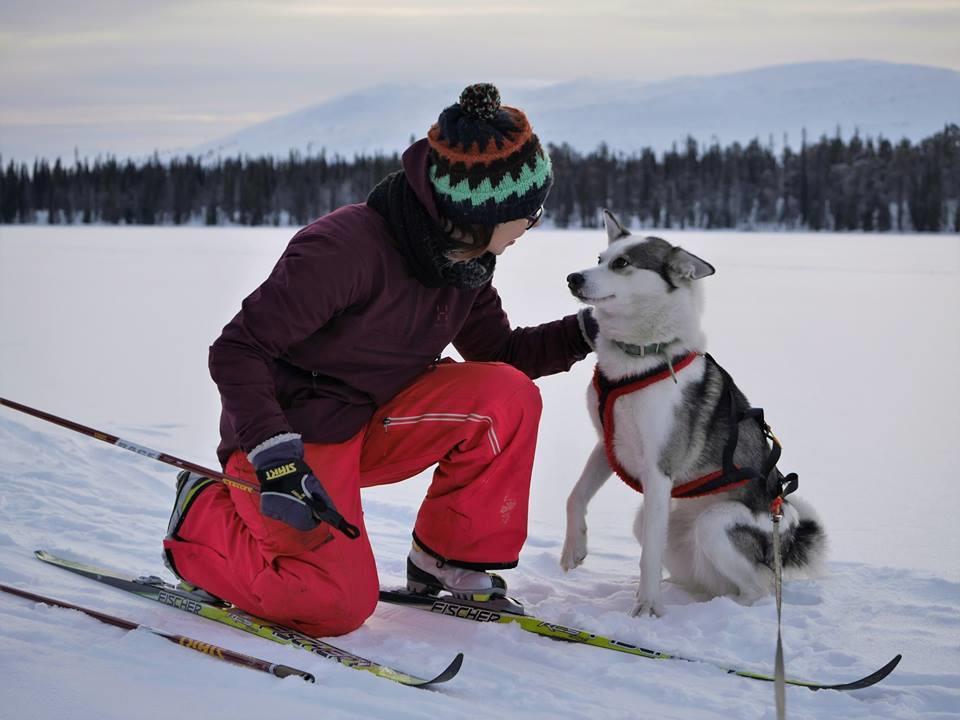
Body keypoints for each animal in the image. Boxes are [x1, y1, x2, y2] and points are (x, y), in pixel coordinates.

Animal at [564, 210, 824, 620]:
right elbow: (575, 497)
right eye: (600, 257)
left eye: (622, 263)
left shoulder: (659, 471)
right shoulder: (608, 444)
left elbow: (648, 557)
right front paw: (574, 548)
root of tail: (787, 535)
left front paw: (647, 608)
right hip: (655, 523)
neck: (643, 357)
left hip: (714, 526)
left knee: (757, 589)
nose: (573, 278)